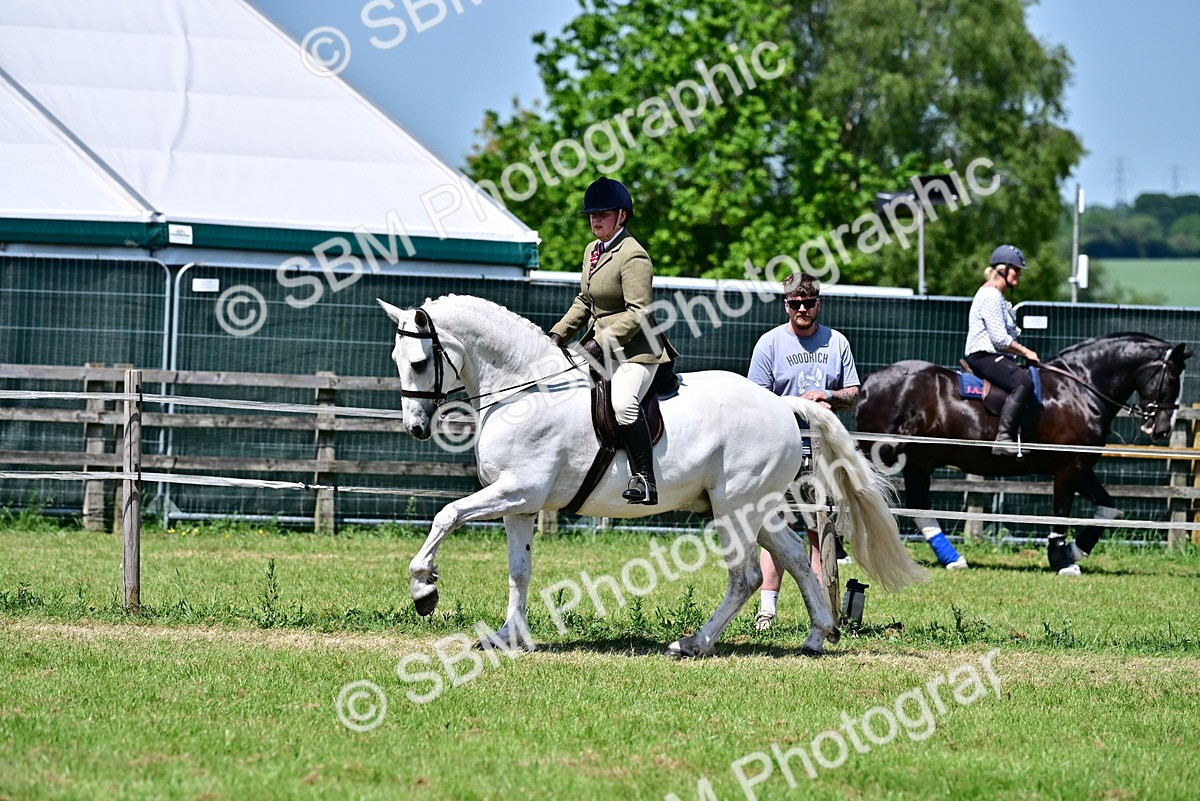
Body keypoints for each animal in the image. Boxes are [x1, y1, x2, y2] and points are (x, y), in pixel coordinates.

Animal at [378, 294, 926, 657]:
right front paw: (510, 637)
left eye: (420, 361)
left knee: (747, 575)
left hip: (732, 509)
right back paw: (817, 636)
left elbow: (447, 515)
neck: (525, 389)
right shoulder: (521, 504)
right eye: (397, 359)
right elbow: (519, 569)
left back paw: (694, 643)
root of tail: (782, 405)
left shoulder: (516, 490)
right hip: (756, 509)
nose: (416, 427)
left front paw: (424, 590)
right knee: (793, 559)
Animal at [856, 333, 1191, 574]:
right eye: (1173, 378)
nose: (1162, 428)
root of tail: (869, 380)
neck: (1078, 389)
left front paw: (1075, 551)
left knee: (919, 506)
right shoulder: (1068, 467)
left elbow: (1109, 509)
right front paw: (1061, 560)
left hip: (918, 460)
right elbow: (1060, 513)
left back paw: (953, 559)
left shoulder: (1082, 467)